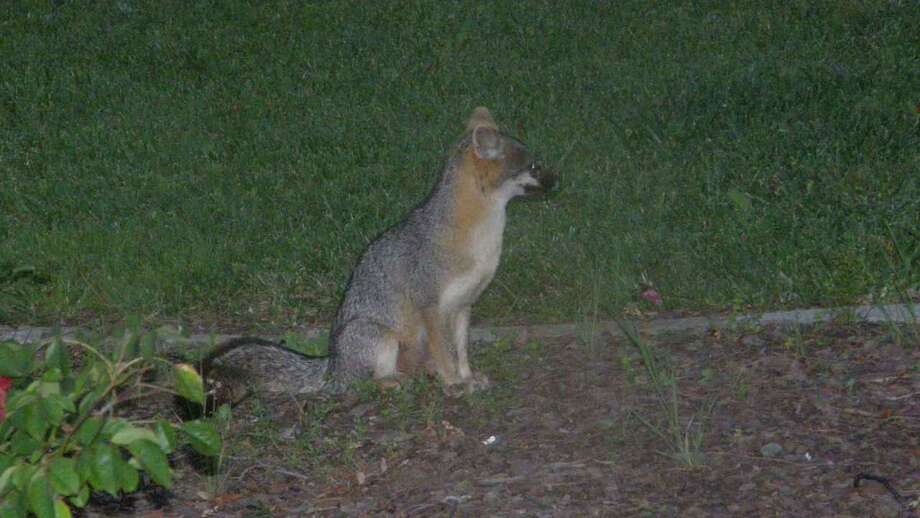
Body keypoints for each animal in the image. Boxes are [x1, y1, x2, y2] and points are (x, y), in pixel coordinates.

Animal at [203, 107, 556, 400]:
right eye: (534, 165)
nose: (559, 180)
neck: (481, 238)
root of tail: (332, 366)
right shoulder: (431, 306)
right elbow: (446, 353)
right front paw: (454, 384)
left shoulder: (464, 306)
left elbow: (461, 352)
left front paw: (466, 378)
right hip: (380, 337)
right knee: (362, 384)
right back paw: (393, 382)